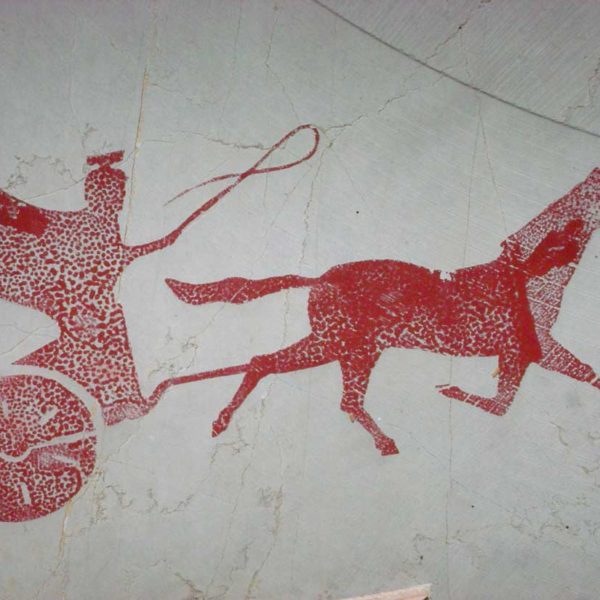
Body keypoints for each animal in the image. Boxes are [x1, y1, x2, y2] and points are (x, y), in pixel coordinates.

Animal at [164, 169, 600, 456]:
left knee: (308, 383)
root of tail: (320, 278)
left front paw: (451, 390)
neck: (533, 274)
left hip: (351, 349)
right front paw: (448, 389)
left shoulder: (531, 352)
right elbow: (509, 400)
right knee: (279, 369)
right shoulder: (527, 350)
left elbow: (526, 395)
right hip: (339, 345)